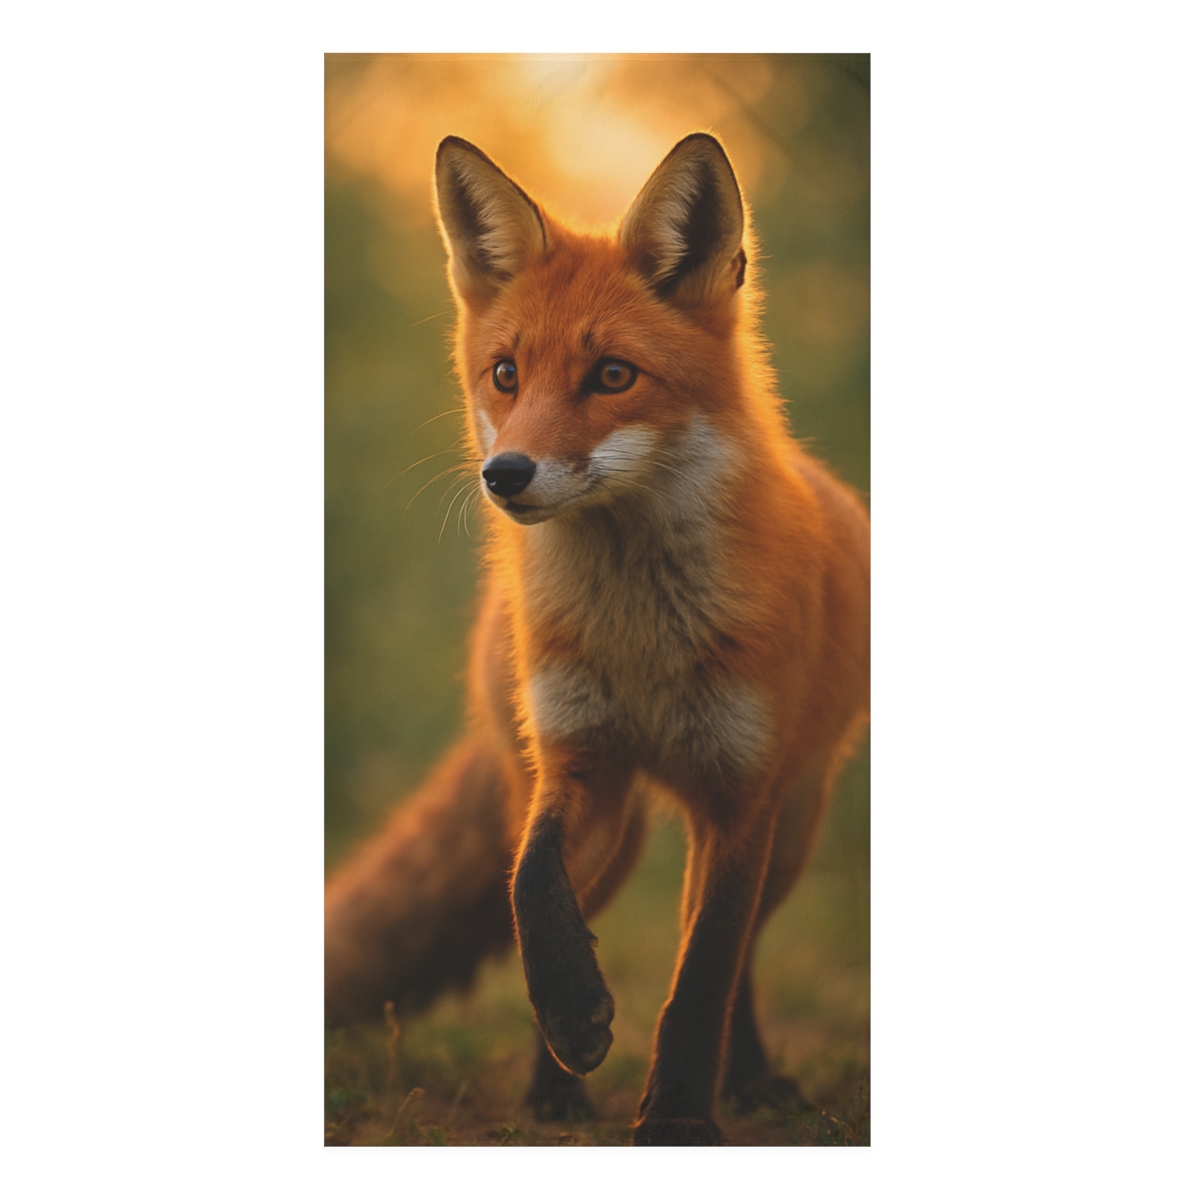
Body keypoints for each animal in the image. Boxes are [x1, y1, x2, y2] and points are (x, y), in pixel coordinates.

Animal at [325, 131, 870, 1145]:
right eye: (505, 373)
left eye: (613, 375)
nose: (505, 473)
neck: (639, 640)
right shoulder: (579, 765)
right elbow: (529, 890)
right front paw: (577, 1021)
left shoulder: (742, 799)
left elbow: (704, 974)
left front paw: (680, 1118)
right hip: (611, 837)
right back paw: (554, 1089)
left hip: (792, 827)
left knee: (741, 958)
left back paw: (751, 1079)